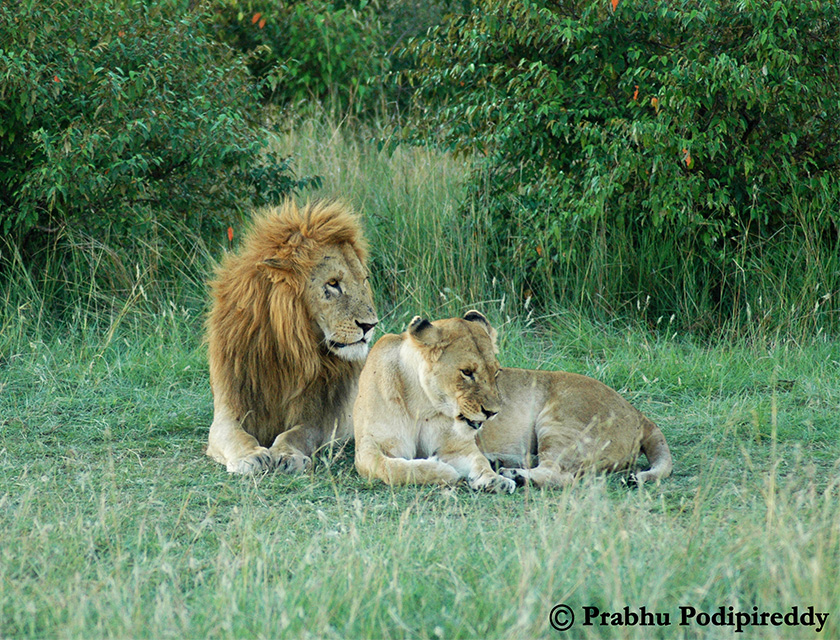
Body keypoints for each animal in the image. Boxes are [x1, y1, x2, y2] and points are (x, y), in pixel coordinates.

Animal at [205, 199, 378, 474]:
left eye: (364, 280)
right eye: (333, 283)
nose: (370, 325)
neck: (286, 350)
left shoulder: (324, 419)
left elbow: (296, 434)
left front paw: (287, 455)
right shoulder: (228, 409)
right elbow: (235, 435)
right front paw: (250, 456)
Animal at [354, 311, 672, 489]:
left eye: (496, 372)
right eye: (467, 372)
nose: (493, 413)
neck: (424, 404)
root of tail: (639, 413)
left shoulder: (458, 446)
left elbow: (477, 461)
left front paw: (493, 479)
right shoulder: (368, 447)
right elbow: (392, 468)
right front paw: (443, 471)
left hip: (560, 422)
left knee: (562, 475)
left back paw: (517, 474)